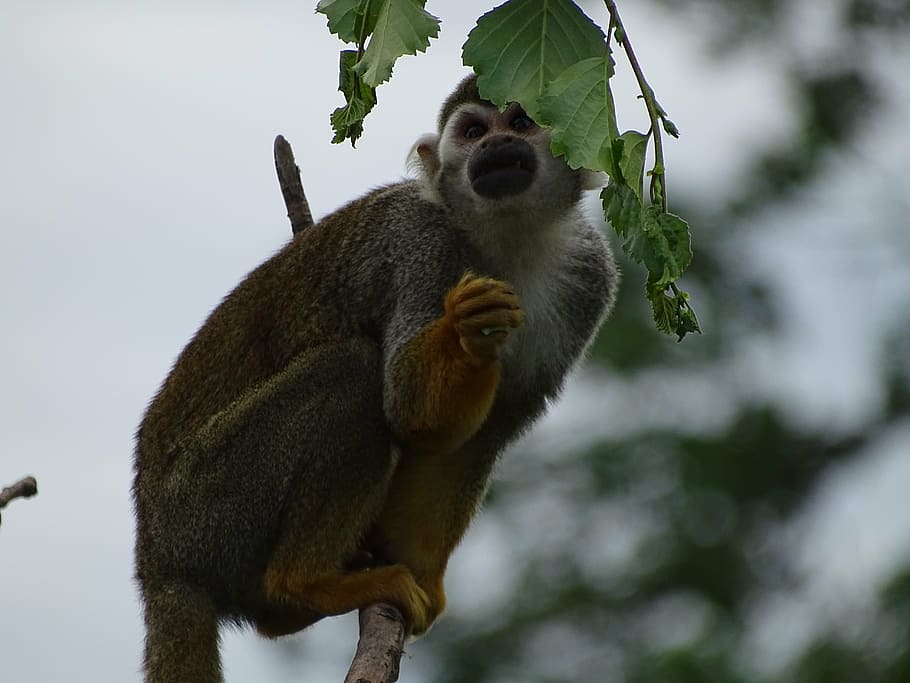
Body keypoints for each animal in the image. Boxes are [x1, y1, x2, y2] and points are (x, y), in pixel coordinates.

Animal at [133, 74, 617, 682]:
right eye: (473, 130)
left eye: (520, 122)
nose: (494, 146)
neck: (509, 237)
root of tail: (156, 561)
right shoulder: (422, 244)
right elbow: (410, 410)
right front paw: (470, 329)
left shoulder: (591, 279)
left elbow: (475, 437)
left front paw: (422, 571)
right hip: (207, 505)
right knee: (352, 372)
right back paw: (304, 583)